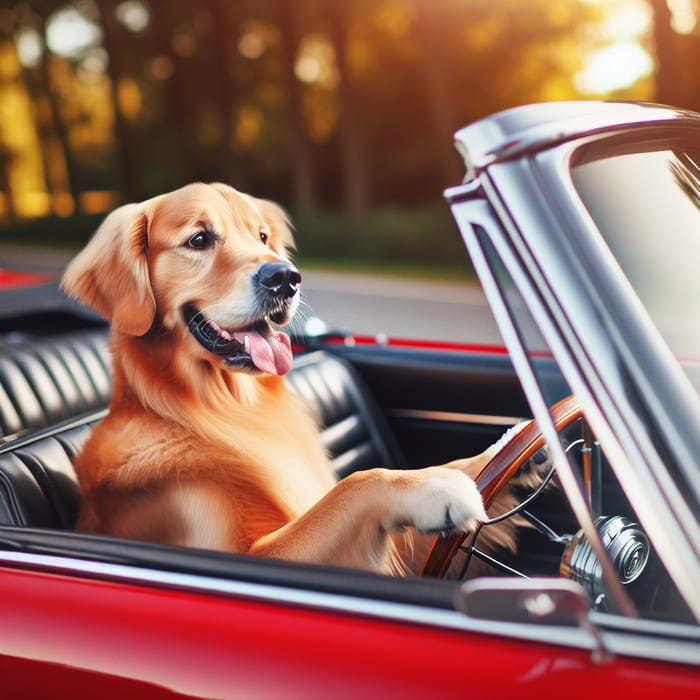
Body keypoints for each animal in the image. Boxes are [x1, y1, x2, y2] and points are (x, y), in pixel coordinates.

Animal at [61, 183, 520, 576]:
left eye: (262, 236)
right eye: (199, 239)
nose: (286, 277)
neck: (220, 407)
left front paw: (505, 449)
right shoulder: (244, 553)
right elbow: (355, 484)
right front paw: (433, 488)